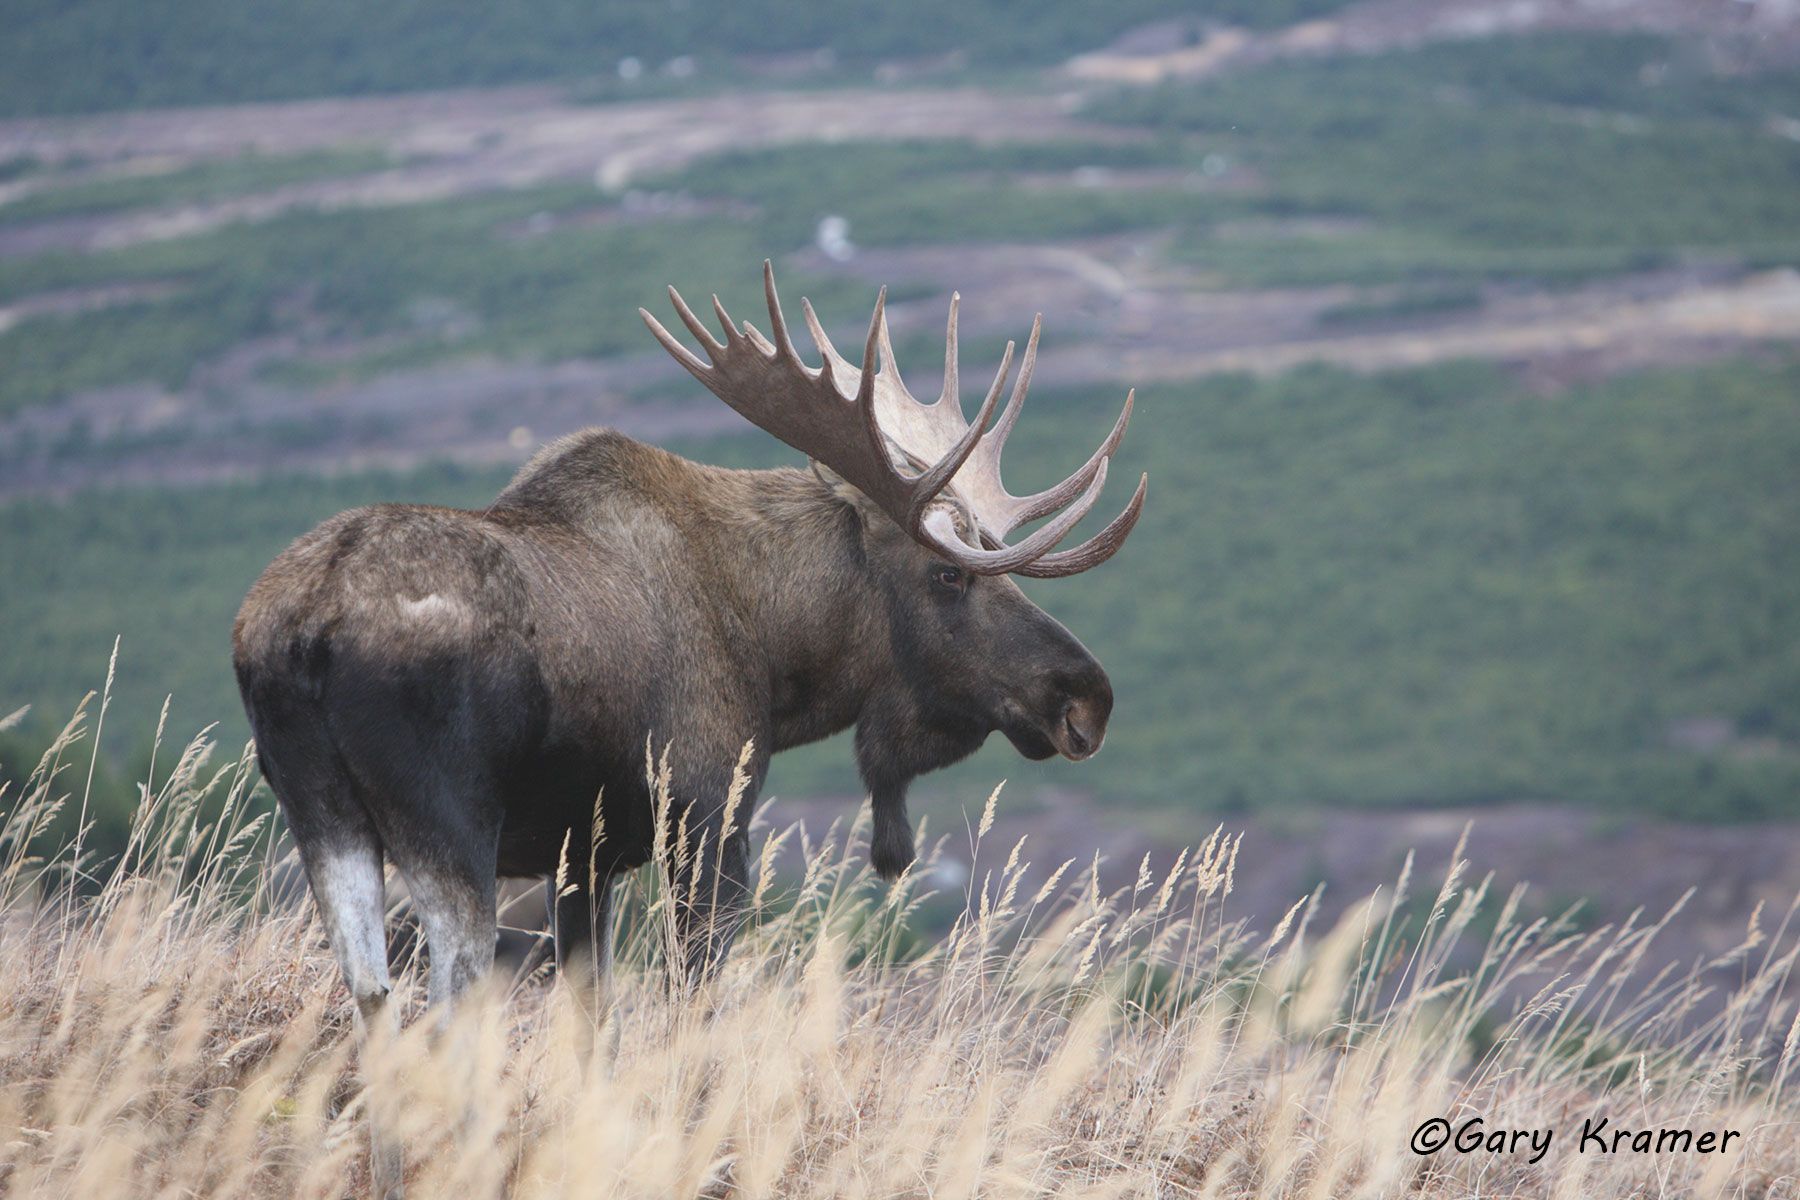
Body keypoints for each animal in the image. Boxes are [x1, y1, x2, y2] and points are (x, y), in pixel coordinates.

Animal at [232, 262, 1145, 1196]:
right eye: (948, 575)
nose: (1085, 696)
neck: (776, 653)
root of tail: (301, 636)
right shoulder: (706, 824)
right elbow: (689, 1015)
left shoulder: (581, 859)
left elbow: (590, 1023)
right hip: (448, 825)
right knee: (445, 1011)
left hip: (325, 815)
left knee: (372, 995)